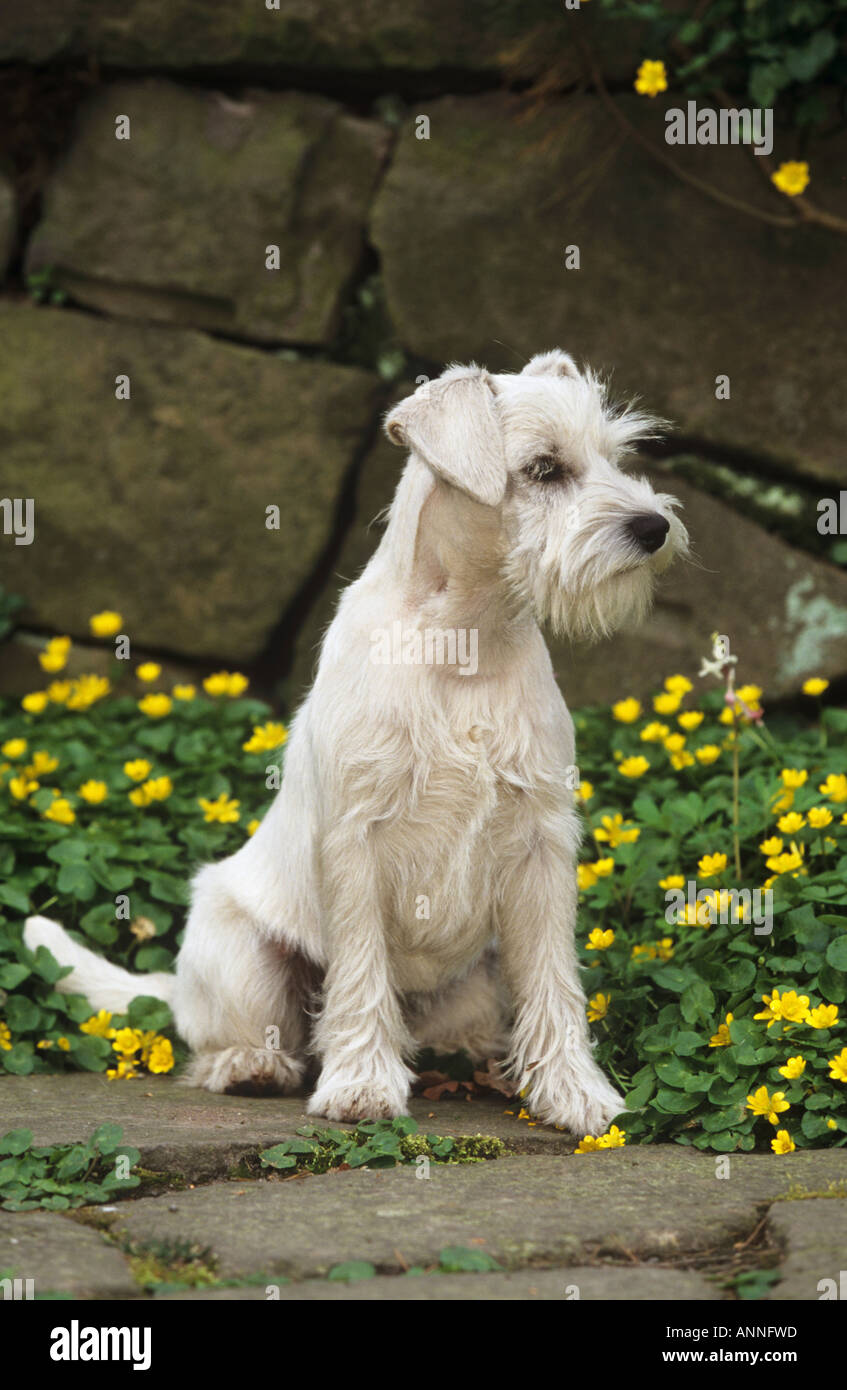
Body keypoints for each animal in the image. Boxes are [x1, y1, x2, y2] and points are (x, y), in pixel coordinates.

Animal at [26, 353, 687, 1134]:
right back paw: (250, 1066)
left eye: (615, 456)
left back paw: (486, 1063)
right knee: (227, 1037)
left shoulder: (541, 845)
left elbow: (555, 981)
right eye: (545, 468)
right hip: (240, 952)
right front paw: (362, 1085)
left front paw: (575, 1092)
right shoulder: (357, 841)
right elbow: (361, 970)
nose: (654, 527)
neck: (463, 641)